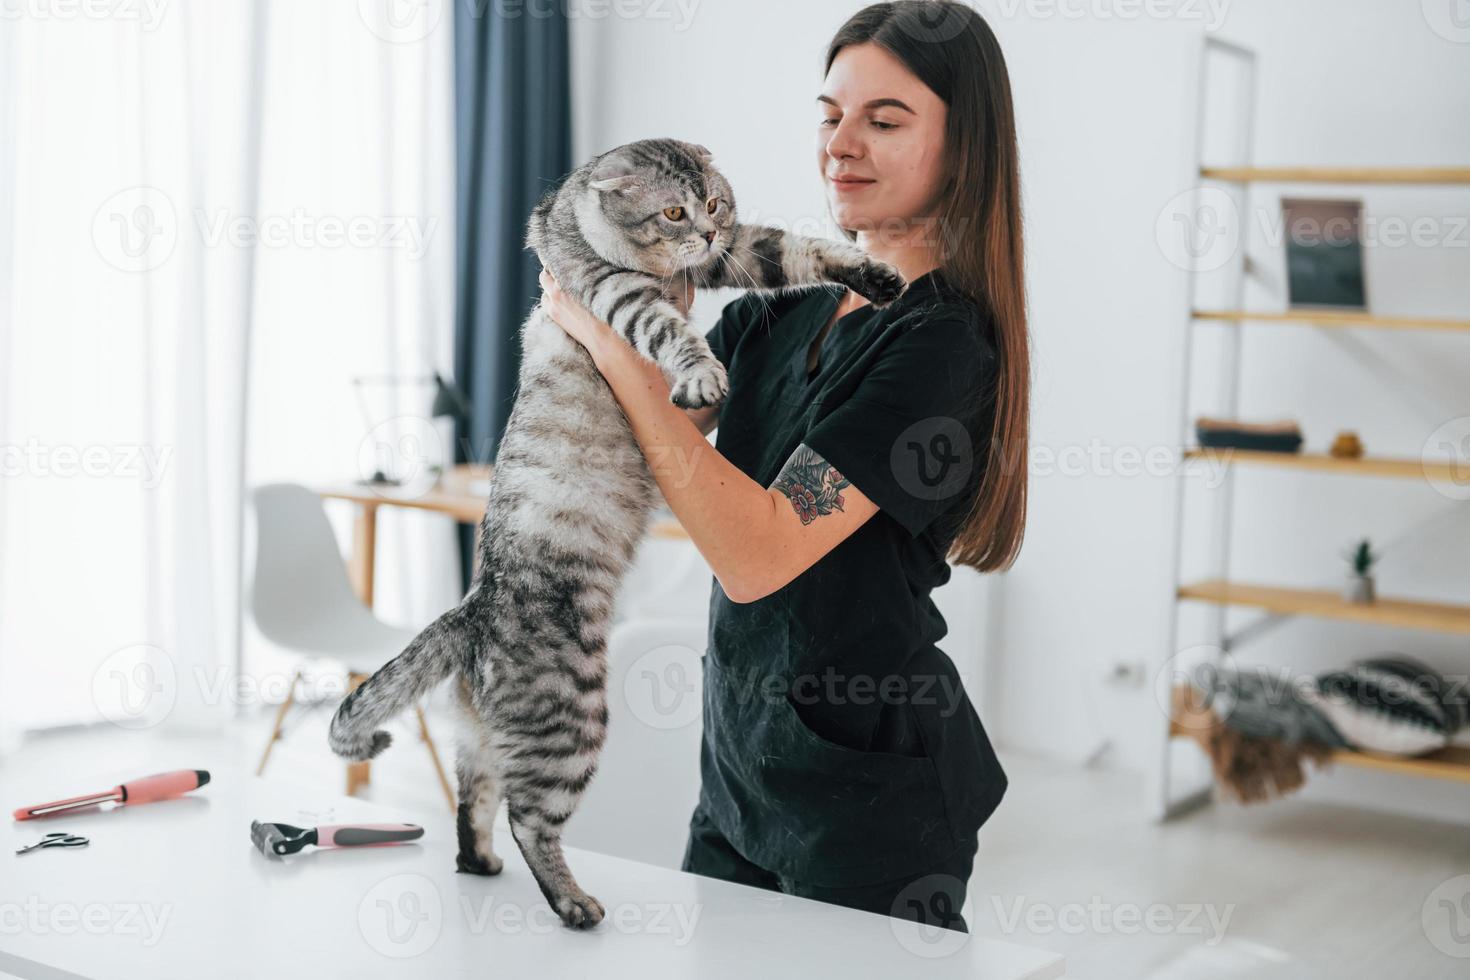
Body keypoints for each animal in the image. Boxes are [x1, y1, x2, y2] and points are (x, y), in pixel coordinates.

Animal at [330, 135, 905, 928]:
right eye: (672, 212)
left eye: (714, 203)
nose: (704, 231)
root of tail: (473, 609)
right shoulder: (615, 295)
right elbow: (675, 333)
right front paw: (700, 375)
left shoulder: (736, 253)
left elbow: (798, 250)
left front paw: (876, 276)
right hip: (571, 719)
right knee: (528, 817)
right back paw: (573, 903)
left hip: (484, 737)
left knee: (473, 799)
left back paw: (481, 865)